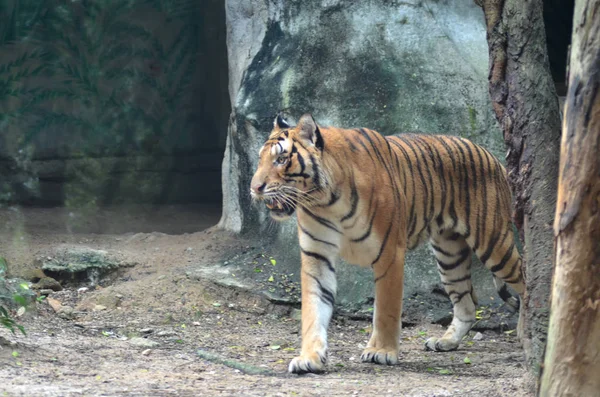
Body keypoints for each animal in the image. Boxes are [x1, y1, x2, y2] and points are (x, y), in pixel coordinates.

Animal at [248, 113, 524, 372]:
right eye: (260, 160)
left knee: (525, 280)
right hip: (449, 255)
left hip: (494, 245)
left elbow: (385, 309)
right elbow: (313, 309)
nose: (254, 188)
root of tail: (493, 157)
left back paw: (525, 330)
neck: (325, 201)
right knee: (467, 303)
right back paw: (446, 342)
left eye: (281, 159)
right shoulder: (317, 256)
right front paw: (309, 358)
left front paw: (381, 351)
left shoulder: (389, 253)